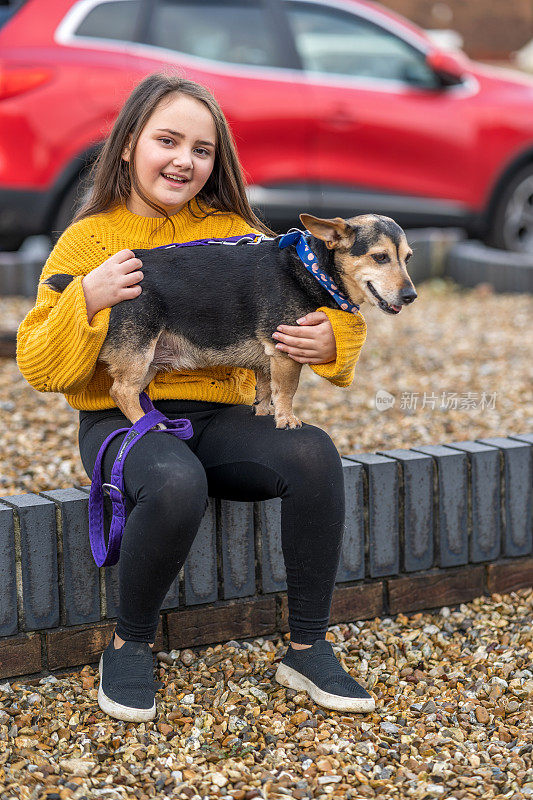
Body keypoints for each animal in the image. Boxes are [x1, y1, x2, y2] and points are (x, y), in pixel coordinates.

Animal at [42, 211, 416, 424]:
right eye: (380, 257)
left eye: (408, 258)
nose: (411, 296)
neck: (313, 267)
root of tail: (89, 276)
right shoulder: (284, 352)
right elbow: (287, 389)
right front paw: (287, 419)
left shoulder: (268, 359)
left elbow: (265, 388)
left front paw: (263, 414)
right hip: (139, 350)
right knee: (121, 391)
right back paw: (152, 426)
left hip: (147, 360)